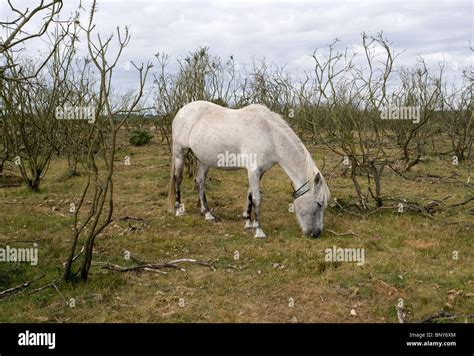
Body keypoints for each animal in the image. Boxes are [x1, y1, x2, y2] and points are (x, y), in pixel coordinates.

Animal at [169, 101, 330, 238]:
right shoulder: (253, 170)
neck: (269, 134)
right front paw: (259, 231)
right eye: (319, 204)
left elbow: (250, 194)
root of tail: (182, 110)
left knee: (200, 181)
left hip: (203, 159)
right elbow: (257, 199)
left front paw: (248, 221)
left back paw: (207, 213)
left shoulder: (259, 172)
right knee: (178, 178)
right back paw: (178, 209)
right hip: (180, 153)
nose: (316, 233)